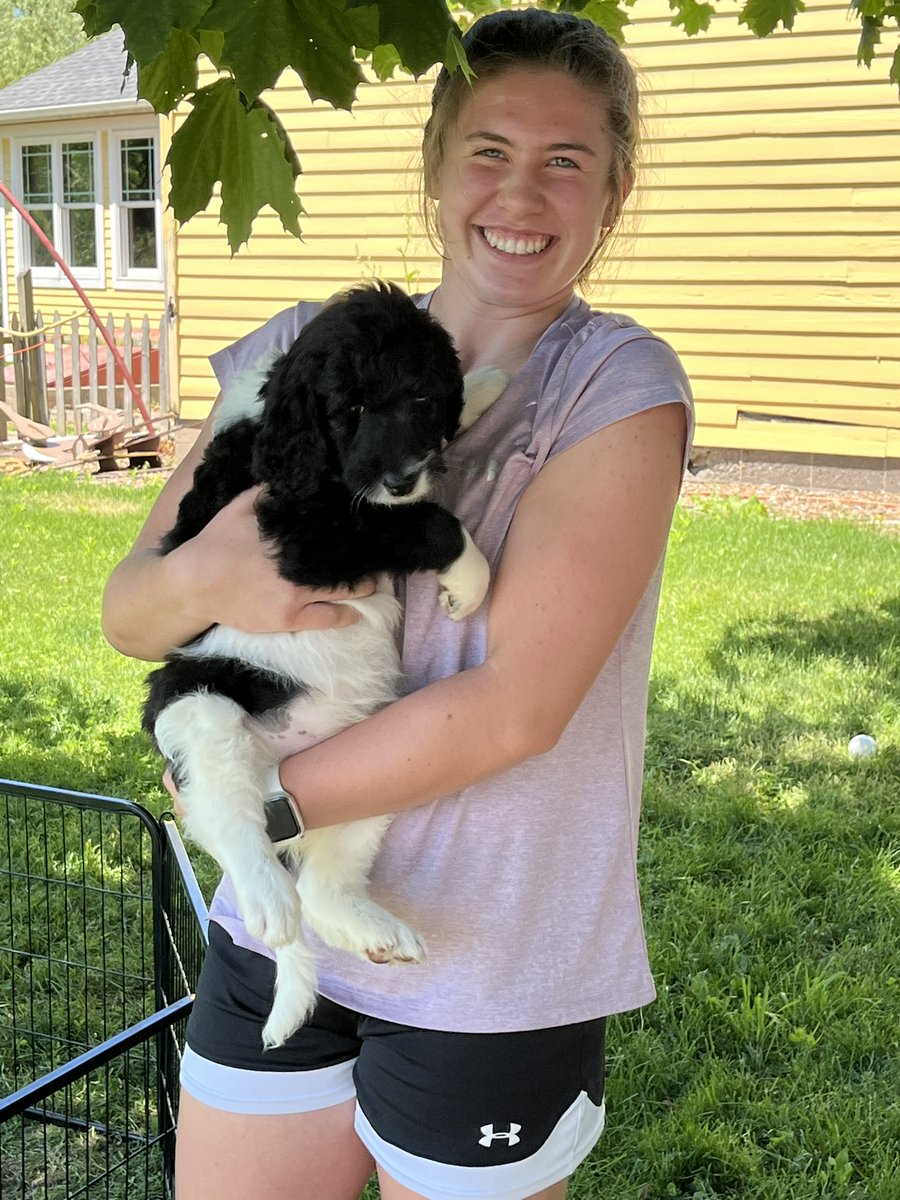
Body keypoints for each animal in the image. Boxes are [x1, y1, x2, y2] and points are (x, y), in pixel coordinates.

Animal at [144, 283, 504, 1051]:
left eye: (420, 400)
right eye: (349, 412)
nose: (401, 476)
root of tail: (277, 766)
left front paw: (489, 381)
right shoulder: (307, 534)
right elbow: (425, 522)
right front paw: (471, 580)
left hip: (379, 758)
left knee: (321, 883)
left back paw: (369, 928)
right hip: (201, 707)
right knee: (226, 818)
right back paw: (268, 901)